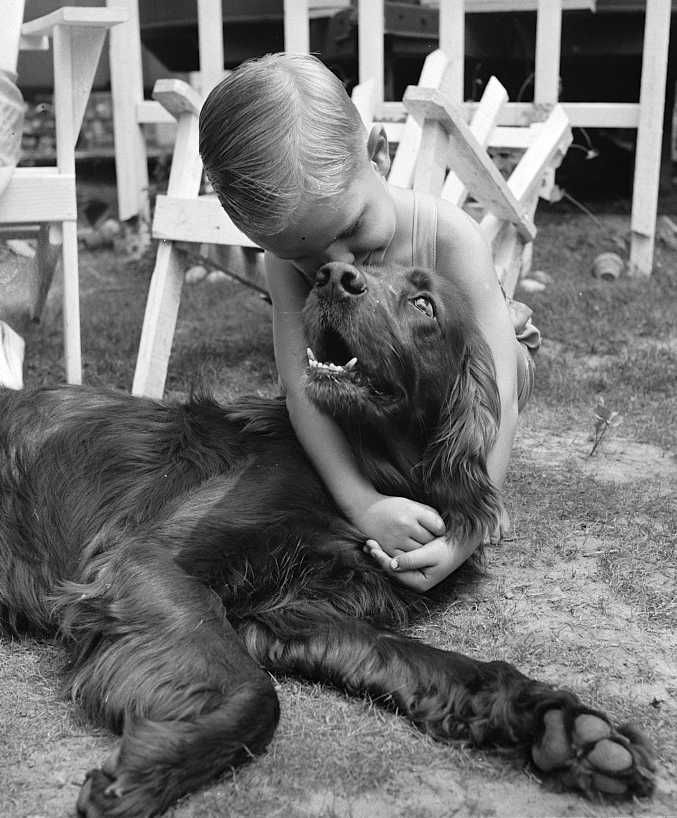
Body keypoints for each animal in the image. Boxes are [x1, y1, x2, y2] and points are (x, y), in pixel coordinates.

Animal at [1, 262, 656, 816]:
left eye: (424, 303)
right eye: (361, 265)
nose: (333, 275)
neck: (372, 473)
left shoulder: (298, 615)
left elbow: (439, 665)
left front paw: (568, 729)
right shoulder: (146, 561)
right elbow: (257, 695)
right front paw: (154, 769)